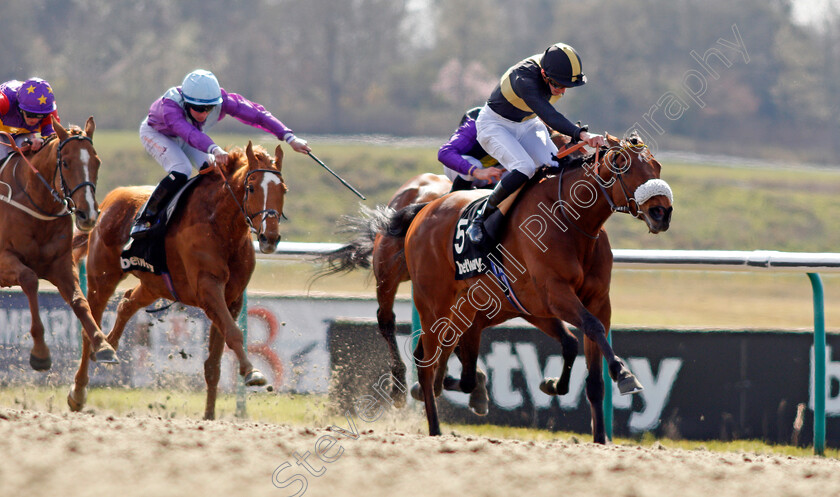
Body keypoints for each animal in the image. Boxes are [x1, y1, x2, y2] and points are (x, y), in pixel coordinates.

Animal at [0, 117, 116, 368]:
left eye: (97, 162)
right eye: (66, 163)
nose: (87, 214)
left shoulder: (61, 263)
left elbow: (80, 301)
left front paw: (103, 345)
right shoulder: (4, 261)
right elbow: (29, 279)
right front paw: (40, 352)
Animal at [69, 141, 286, 416]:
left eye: (283, 190)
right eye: (251, 187)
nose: (270, 238)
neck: (221, 225)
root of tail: (110, 199)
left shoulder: (232, 299)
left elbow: (214, 363)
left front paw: (210, 416)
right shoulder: (208, 290)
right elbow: (234, 333)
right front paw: (252, 372)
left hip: (155, 284)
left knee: (127, 302)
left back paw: (110, 346)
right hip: (102, 276)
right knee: (90, 325)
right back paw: (79, 390)